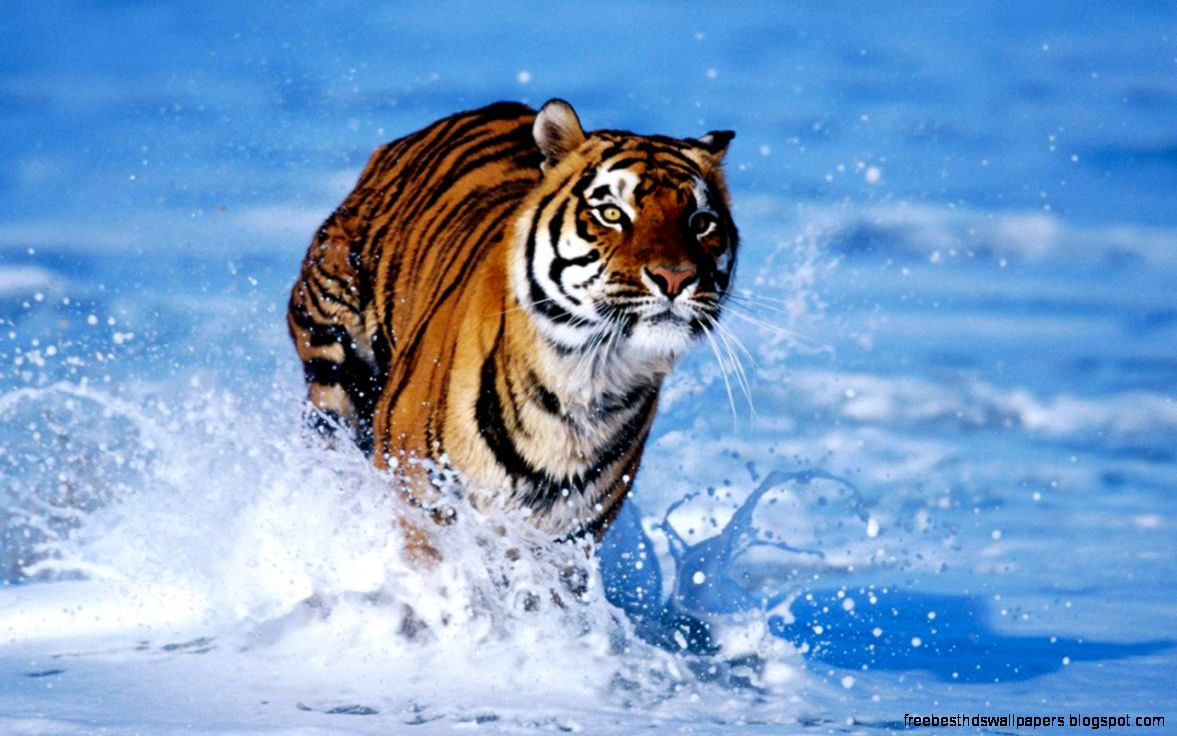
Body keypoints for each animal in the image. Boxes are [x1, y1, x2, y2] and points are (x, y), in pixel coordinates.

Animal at [287, 99, 737, 542]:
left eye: (701, 223)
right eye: (611, 213)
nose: (675, 277)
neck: (586, 382)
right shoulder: (420, 499)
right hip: (335, 366)